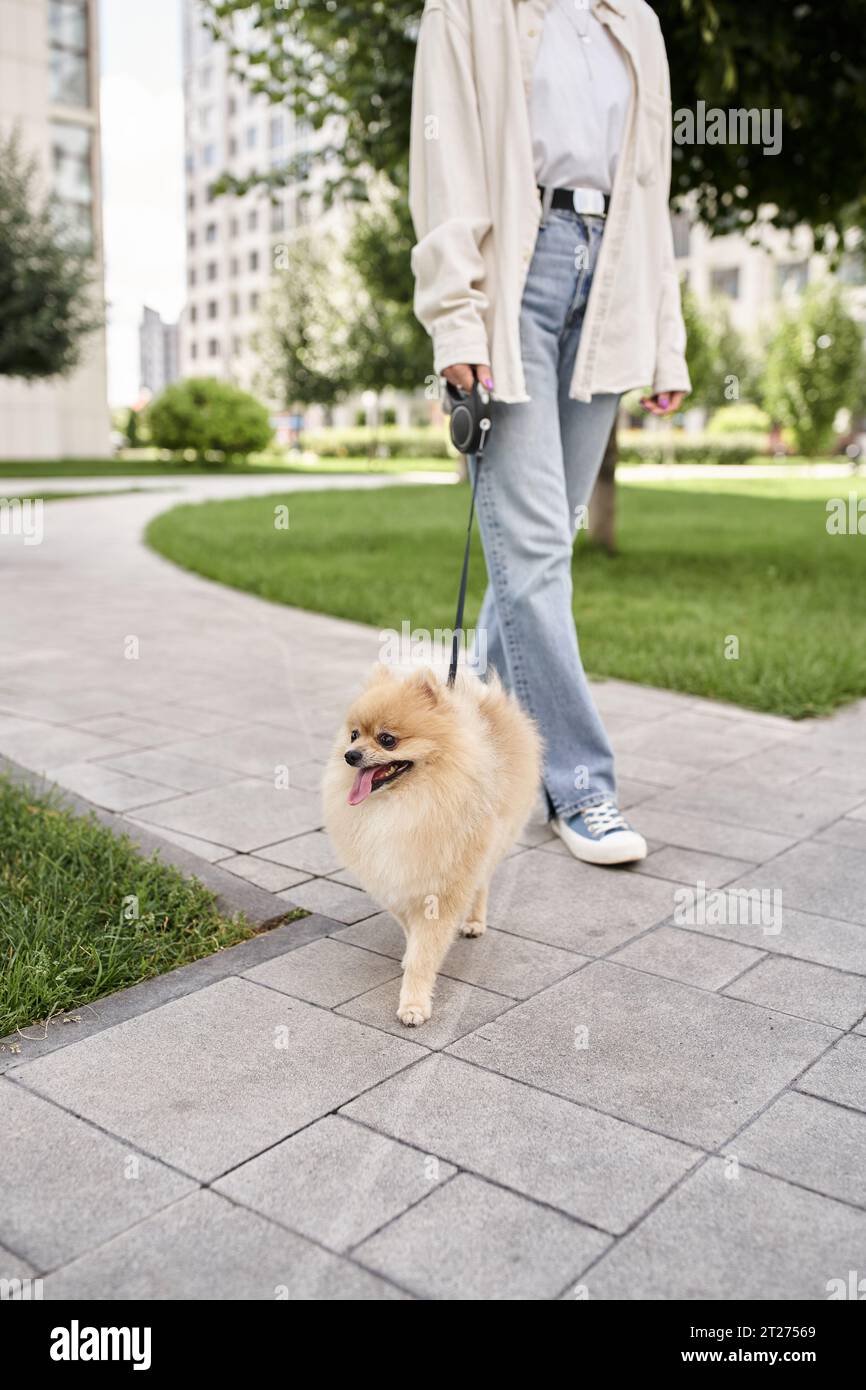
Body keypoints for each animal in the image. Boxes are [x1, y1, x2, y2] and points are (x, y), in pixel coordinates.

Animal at [325, 667, 542, 1028]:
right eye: (354, 734)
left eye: (387, 739)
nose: (350, 755)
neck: (403, 804)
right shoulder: (396, 881)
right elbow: (410, 930)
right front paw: (408, 953)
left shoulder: (441, 889)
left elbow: (424, 954)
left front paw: (413, 1004)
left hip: (493, 840)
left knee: (482, 881)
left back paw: (474, 921)